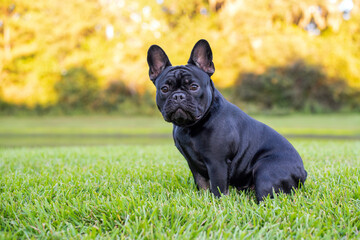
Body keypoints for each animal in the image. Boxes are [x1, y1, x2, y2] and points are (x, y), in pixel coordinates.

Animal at [146, 39, 306, 202]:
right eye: (164, 89)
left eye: (194, 86)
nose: (178, 96)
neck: (190, 126)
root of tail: (302, 173)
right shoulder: (193, 164)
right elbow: (202, 185)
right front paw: (204, 200)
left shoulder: (217, 163)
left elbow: (218, 188)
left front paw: (218, 203)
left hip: (266, 172)